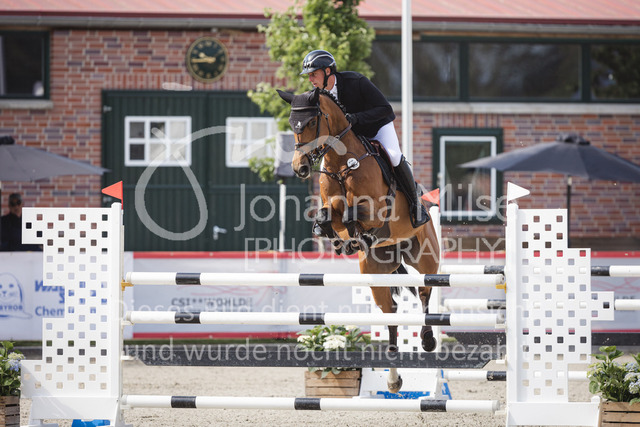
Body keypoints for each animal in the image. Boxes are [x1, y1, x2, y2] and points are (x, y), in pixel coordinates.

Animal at [278, 87, 440, 393]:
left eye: (310, 122)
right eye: (292, 125)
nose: (299, 168)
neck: (342, 163)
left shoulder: (377, 210)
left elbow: (353, 214)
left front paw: (356, 235)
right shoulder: (331, 206)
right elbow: (328, 216)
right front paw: (343, 240)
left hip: (426, 257)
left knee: (425, 291)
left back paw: (427, 340)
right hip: (376, 273)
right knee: (391, 312)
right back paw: (393, 379)